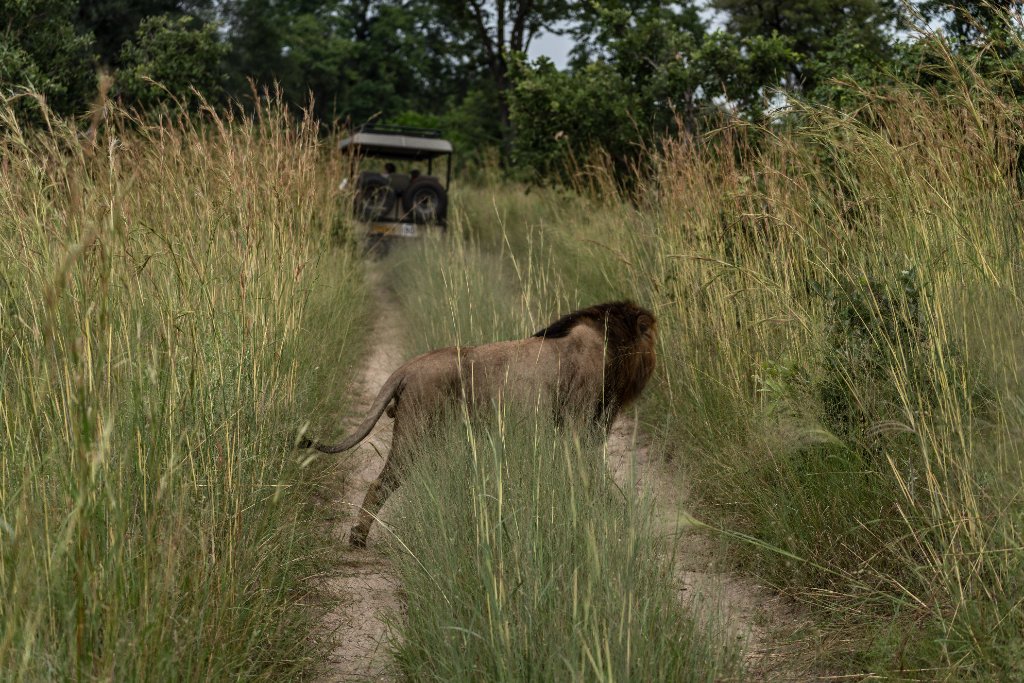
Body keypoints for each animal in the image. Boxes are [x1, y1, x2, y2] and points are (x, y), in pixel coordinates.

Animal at [300, 301, 656, 547]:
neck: (609, 344)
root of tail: (409, 366)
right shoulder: (580, 423)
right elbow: (590, 473)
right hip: (415, 433)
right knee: (380, 484)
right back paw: (358, 538)